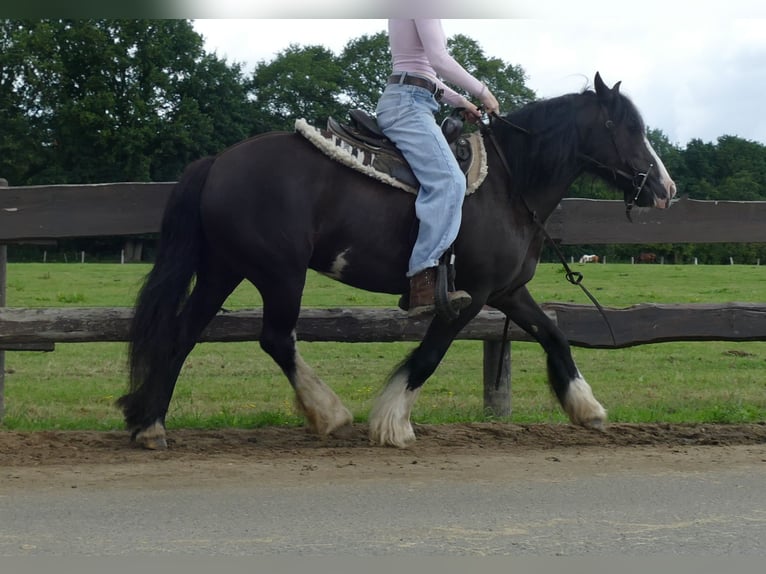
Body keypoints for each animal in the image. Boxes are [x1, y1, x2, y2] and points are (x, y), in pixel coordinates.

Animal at [117, 72, 677, 449]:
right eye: (626, 126)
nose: (666, 188)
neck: (508, 183)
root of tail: (218, 162)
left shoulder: (507, 291)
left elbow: (554, 334)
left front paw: (588, 408)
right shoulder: (468, 296)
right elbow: (428, 357)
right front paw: (392, 423)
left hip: (223, 269)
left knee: (183, 332)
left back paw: (150, 423)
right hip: (279, 273)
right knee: (275, 338)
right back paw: (328, 413)